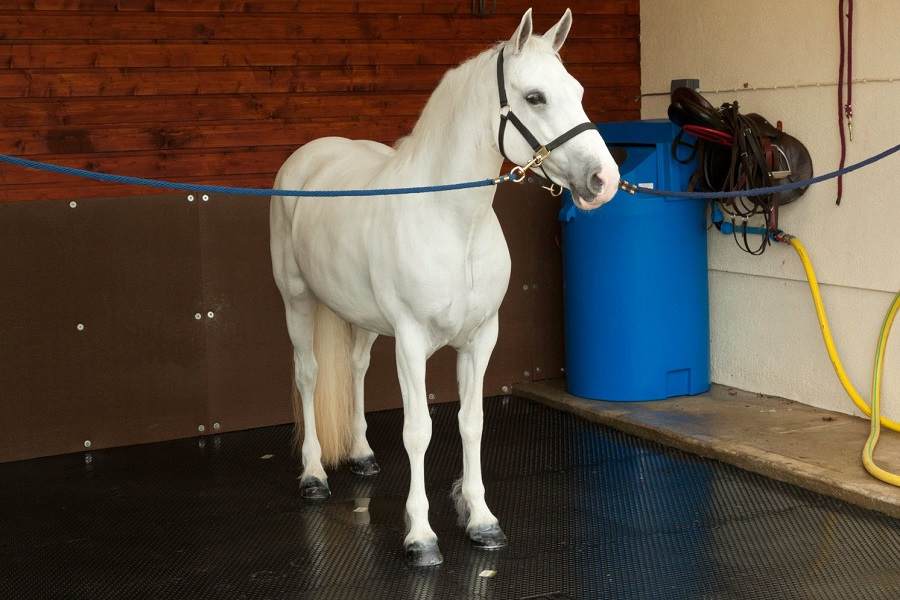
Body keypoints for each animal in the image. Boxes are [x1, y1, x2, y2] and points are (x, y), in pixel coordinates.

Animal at [269, 8, 619, 567]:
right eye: (535, 96)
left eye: (579, 91)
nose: (603, 181)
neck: (453, 222)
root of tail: (307, 159)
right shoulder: (411, 342)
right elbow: (419, 432)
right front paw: (421, 536)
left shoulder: (481, 339)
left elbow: (471, 423)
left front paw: (482, 521)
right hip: (297, 301)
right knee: (308, 376)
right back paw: (314, 476)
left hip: (361, 317)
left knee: (356, 367)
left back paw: (362, 455)